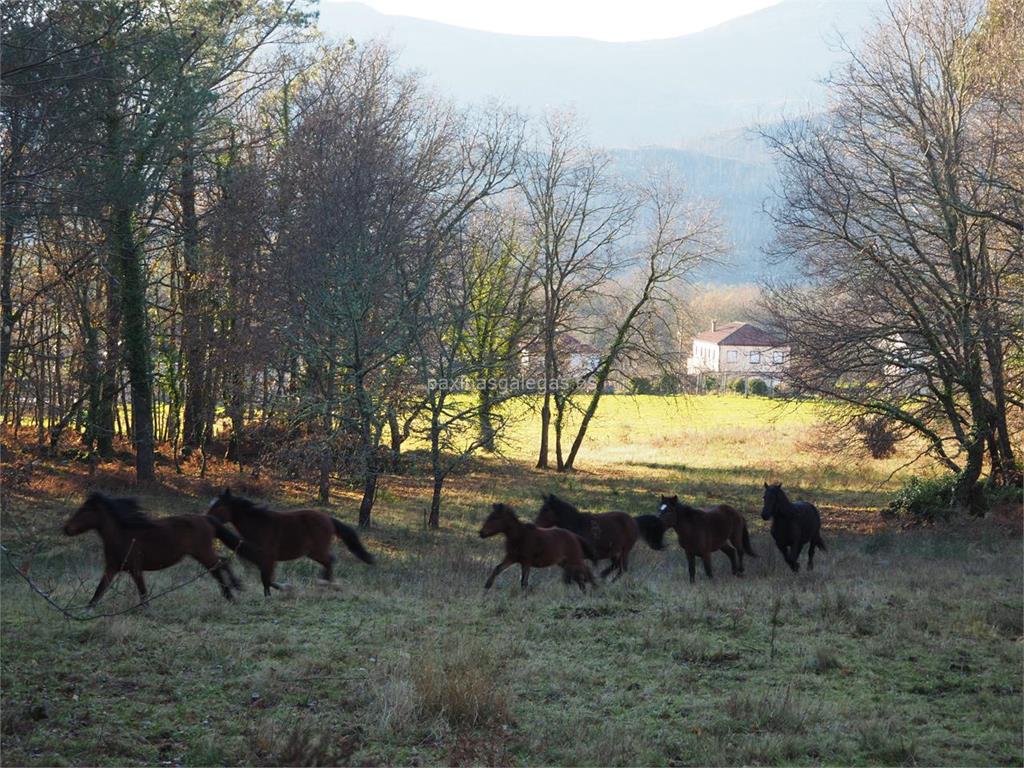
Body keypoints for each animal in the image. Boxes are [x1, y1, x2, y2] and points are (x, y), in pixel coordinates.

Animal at [64, 493, 247, 606]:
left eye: (84, 511)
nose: (66, 528)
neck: (122, 534)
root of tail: (206, 518)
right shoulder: (112, 568)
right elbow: (99, 590)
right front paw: (87, 610)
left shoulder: (135, 569)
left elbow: (143, 593)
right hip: (200, 553)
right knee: (219, 566)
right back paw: (230, 594)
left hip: (202, 552)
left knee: (221, 564)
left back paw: (235, 589)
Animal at [203, 489, 372, 598]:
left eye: (218, 506)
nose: (206, 519)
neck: (259, 525)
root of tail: (328, 519)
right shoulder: (260, 559)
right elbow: (267, 580)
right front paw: (282, 589)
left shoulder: (268, 558)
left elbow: (266, 580)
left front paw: (276, 594)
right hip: (313, 552)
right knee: (329, 562)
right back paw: (324, 584)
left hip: (316, 550)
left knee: (329, 561)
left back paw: (324, 583)